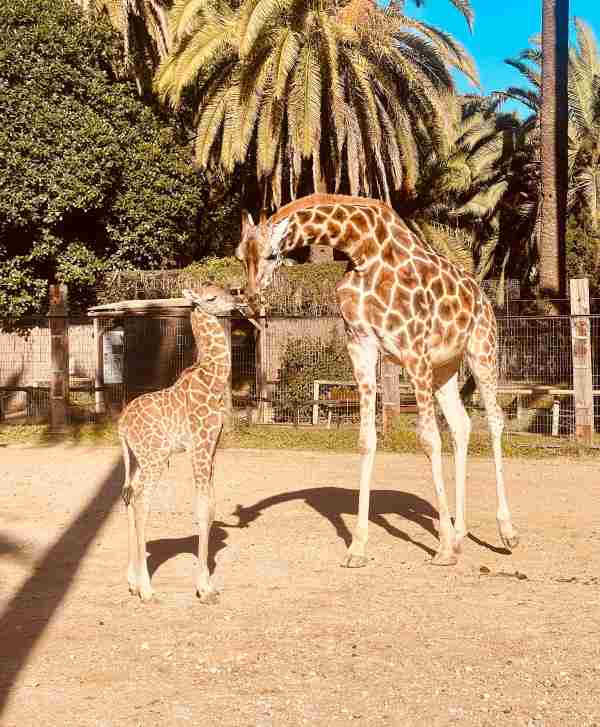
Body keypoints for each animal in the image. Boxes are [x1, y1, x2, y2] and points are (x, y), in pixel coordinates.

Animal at [118, 284, 245, 604]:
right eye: (211, 297)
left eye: (224, 290)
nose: (237, 301)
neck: (212, 379)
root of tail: (121, 425)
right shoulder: (199, 446)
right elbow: (201, 509)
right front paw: (203, 589)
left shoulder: (213, 447)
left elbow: (211, 508)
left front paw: (209, 584)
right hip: (154, 457)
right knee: (142, 500)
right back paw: (147, 590)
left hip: (137, 459)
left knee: (129, 496)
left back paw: (133, 583)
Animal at [237, 195, 516, 568]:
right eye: (241, 255)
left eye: (271, 255)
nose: (252, 298)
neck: (360, 249)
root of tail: (482, 297)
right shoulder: (361, 345)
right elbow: (366, 439)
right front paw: (357, 547)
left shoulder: (413, 349)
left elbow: (429, 439)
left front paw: (442, 549)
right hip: (445, 367)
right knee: (462, 424)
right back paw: (459, 535)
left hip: (481, 349)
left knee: (496, 420)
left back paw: (505, 532)